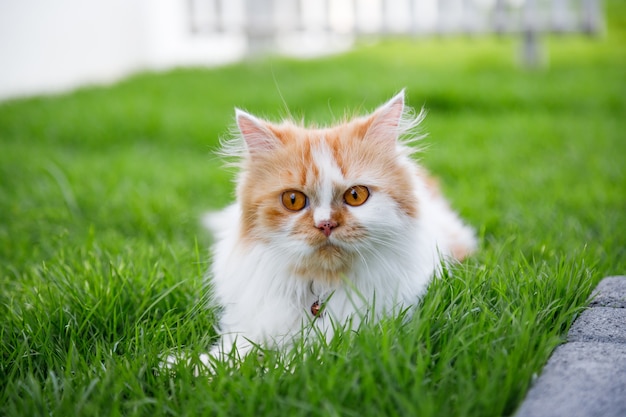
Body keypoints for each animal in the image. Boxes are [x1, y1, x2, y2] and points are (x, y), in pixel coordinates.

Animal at [195, 89, 472, 366]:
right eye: (293, 200)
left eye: (356, 196)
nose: (325, 224)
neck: (323, 288)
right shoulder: (253, 325)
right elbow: (231, 352)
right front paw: (194, 367)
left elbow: (296, 361)